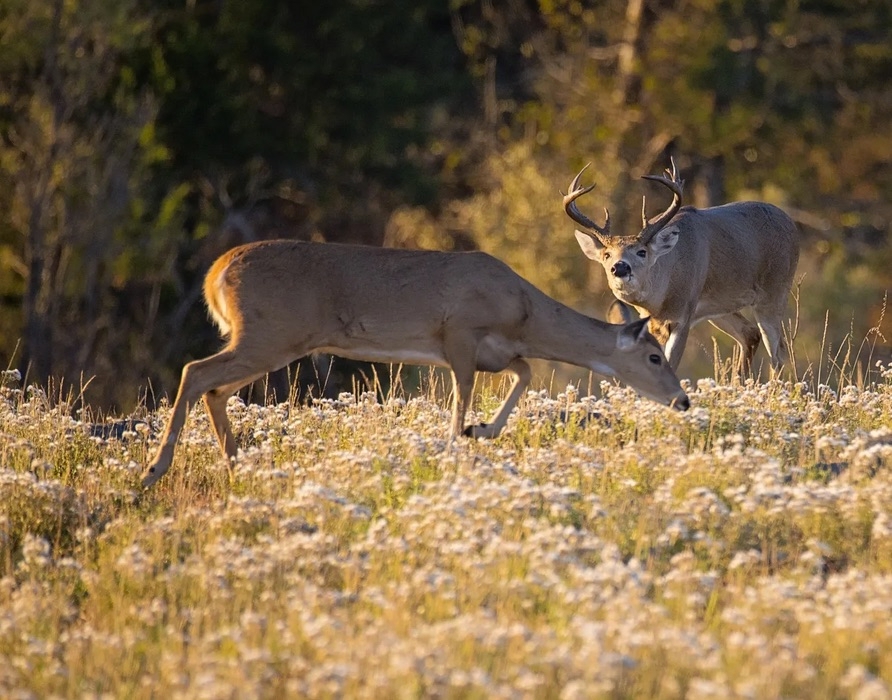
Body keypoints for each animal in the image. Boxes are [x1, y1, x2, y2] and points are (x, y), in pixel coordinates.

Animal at [142, 239, 690, 487]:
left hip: (272, 341)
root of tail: (215, 273)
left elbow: (526, 373)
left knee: (214, 388)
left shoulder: (497, 352)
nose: (683, 400)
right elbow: (462, 399)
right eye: (654, 355)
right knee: (195, 373)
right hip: (268, 334)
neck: (522, 308)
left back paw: (239, 468)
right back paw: (154, 470)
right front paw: (460, 440)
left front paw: (481, 431)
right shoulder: (458, 336)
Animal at [563, 158, 800, 376]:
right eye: (606, 255)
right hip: (721, 306)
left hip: (774, 291)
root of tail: (791, 223)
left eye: (642, 252)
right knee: (750, 334)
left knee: (778, 352)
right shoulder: (655, 323)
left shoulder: (683, 316)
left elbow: (671, 364)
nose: (620, 268)